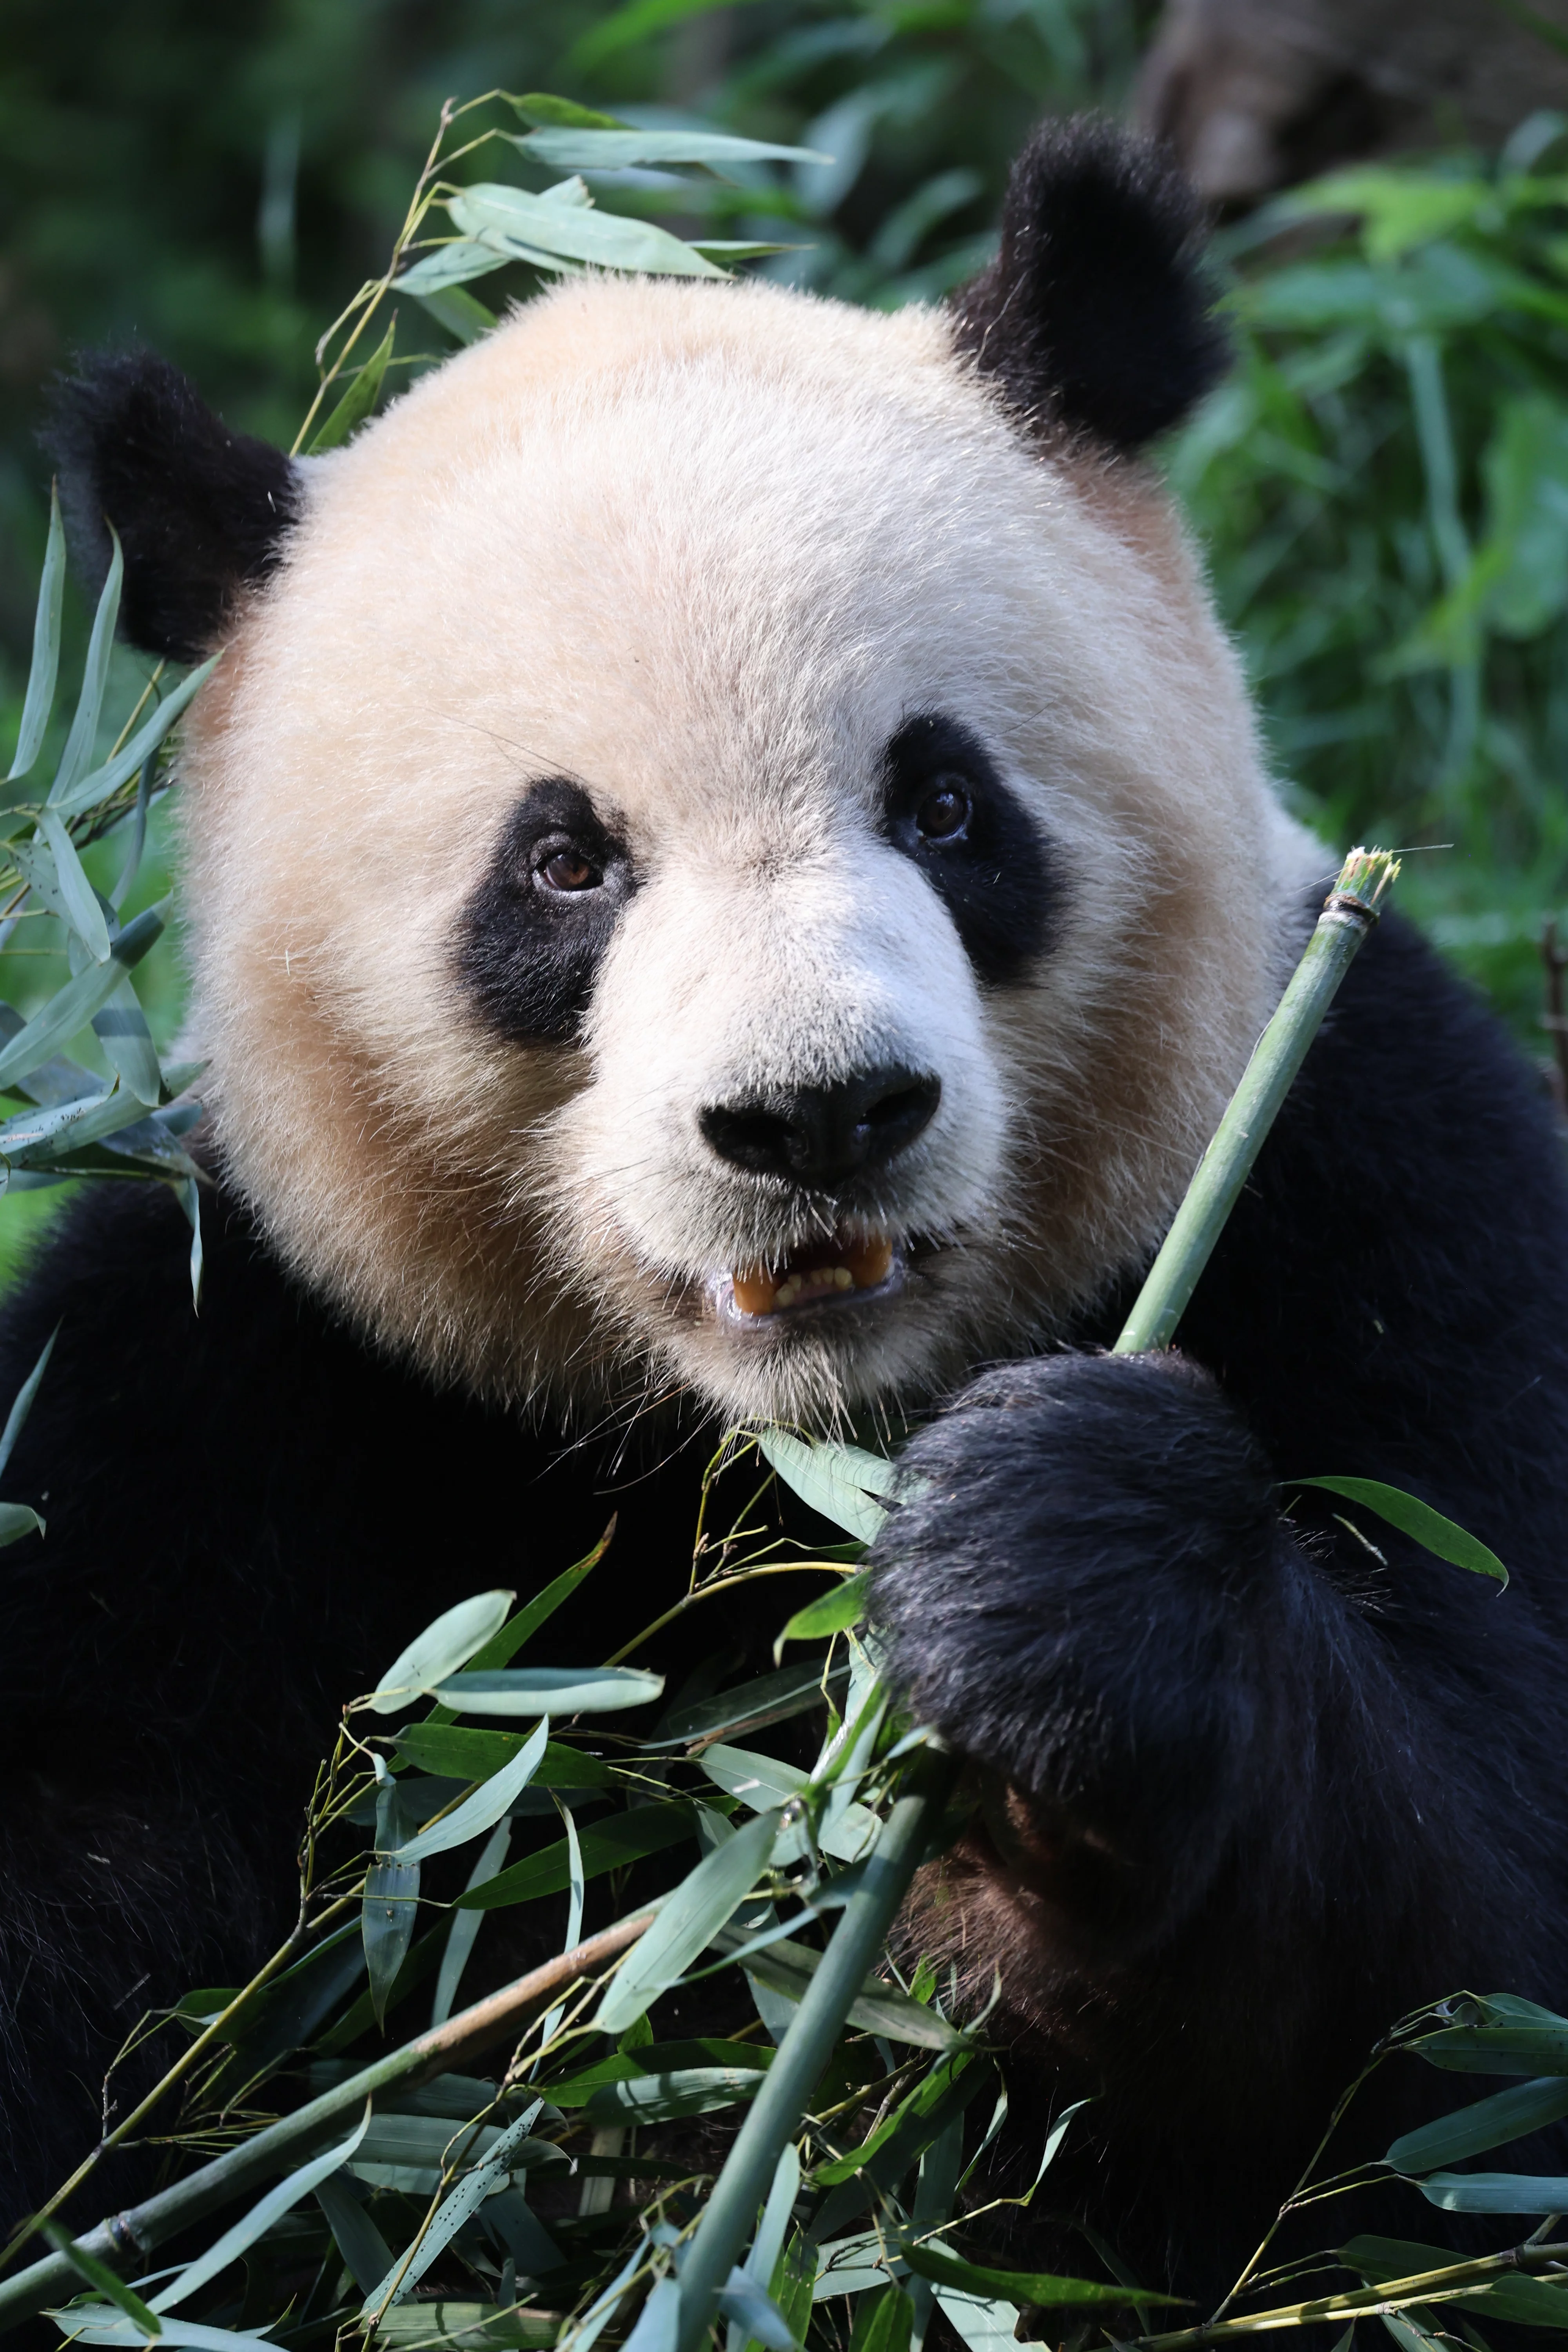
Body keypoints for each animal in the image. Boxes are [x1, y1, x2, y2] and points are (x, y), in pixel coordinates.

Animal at [5, 113, 1568, 2315]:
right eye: (562, 864)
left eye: (942, 803)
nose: (816, 1117)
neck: (770, 1453)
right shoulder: (235, 1374)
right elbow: (85, 1863)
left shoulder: (1372, 1180)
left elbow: (1455, 2024)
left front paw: (1048, 1583)